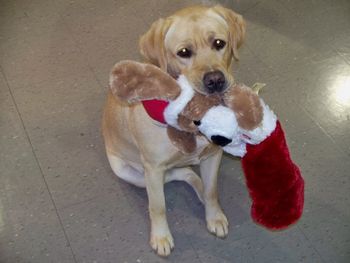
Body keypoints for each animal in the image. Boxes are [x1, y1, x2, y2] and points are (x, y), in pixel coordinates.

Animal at [102, 4, 245, 258]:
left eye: (219, 43)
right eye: (184, 52)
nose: (215, 80)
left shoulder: (213, 155)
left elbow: (212, 191)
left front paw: (214, 217)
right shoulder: (153, 167)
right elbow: (157, 206)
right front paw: (160, 237)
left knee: (187, 173)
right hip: (129, 172)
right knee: (175, 176)